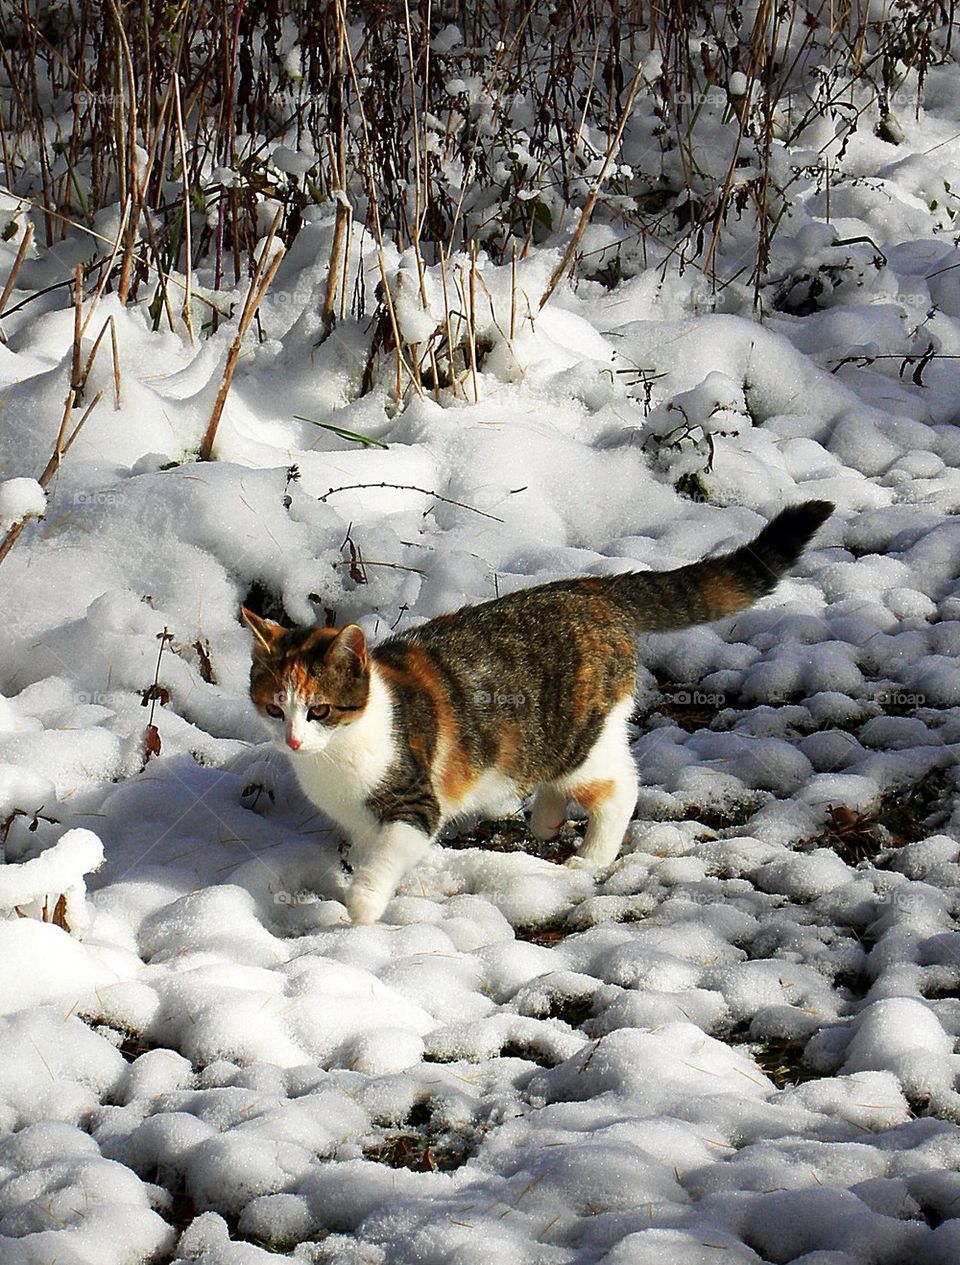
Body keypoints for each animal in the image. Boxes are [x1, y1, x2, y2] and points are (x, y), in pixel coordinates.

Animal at [241, 498, 834, 925]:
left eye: (318, 710)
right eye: (275, 708)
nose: (292, 741)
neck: (337, 760)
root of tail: (592, 589)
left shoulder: (414, 802)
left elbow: (389, 854)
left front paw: (362, 906)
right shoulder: (361, 819)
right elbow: (375, 851)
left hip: (578, 737)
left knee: (620, 785)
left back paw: (591, 856)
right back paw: (546, 819)